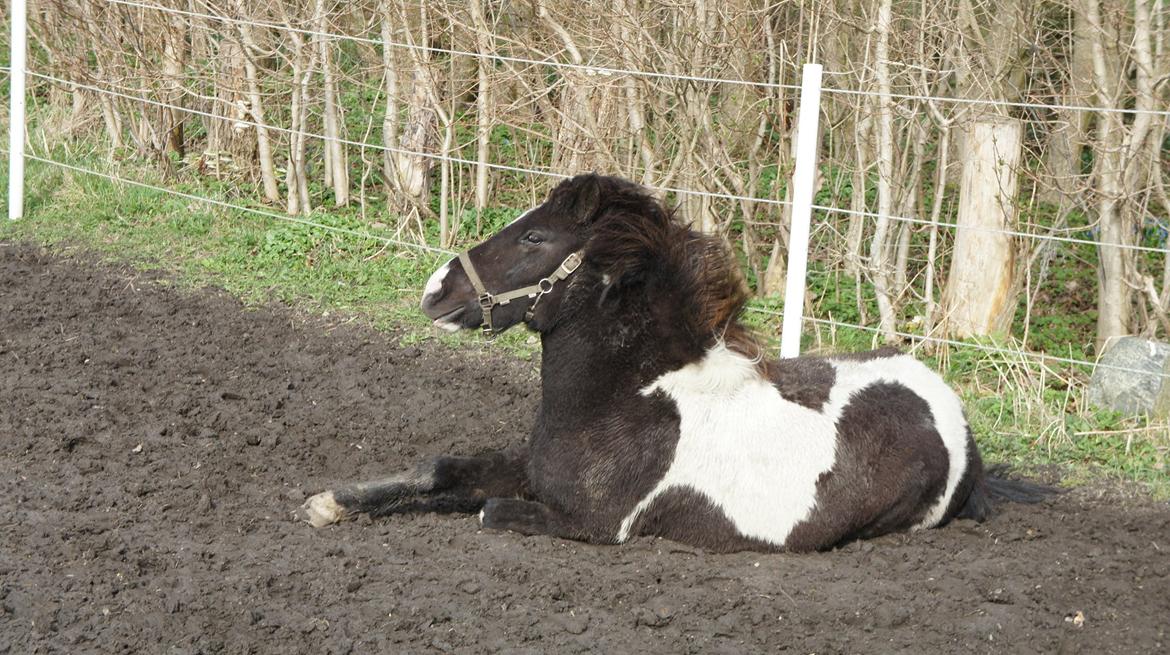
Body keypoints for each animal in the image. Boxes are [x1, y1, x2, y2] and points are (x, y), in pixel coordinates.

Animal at [299, 173, 1053, 552]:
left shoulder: (598, 527)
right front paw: (330, 502)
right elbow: (442, 471)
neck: (626, 404)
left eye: (536, 236)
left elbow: (482, 507)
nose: (435, 289)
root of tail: (953, 412)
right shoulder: (527, 469)